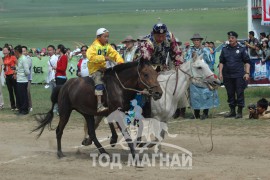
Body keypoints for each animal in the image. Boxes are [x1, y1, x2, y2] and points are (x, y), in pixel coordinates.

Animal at [32, 58, 162, 158]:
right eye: (146, 74)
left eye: (156, 74)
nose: (158, 93)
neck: (119, 86)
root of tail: (64, 86)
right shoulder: (116, 113)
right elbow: (125, 133)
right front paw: (133, 154)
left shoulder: (126, 111)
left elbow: (139, 124)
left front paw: (138, 144)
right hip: (65, 112)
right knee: (59, 131)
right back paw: (60, 153)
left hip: (87, 113)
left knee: (92, 133)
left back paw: (103, 151)